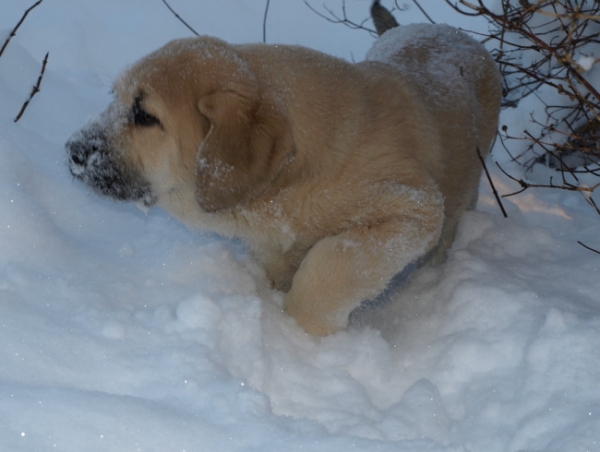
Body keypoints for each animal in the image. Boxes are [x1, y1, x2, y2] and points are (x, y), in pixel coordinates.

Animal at [65, 23, 502, 338]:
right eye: (115, 97)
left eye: (144, 116)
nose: (72, 151)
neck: (289, 180)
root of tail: (454, 33)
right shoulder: (273, 245)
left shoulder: (414, 206)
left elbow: (331, 262)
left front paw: (303, 334)